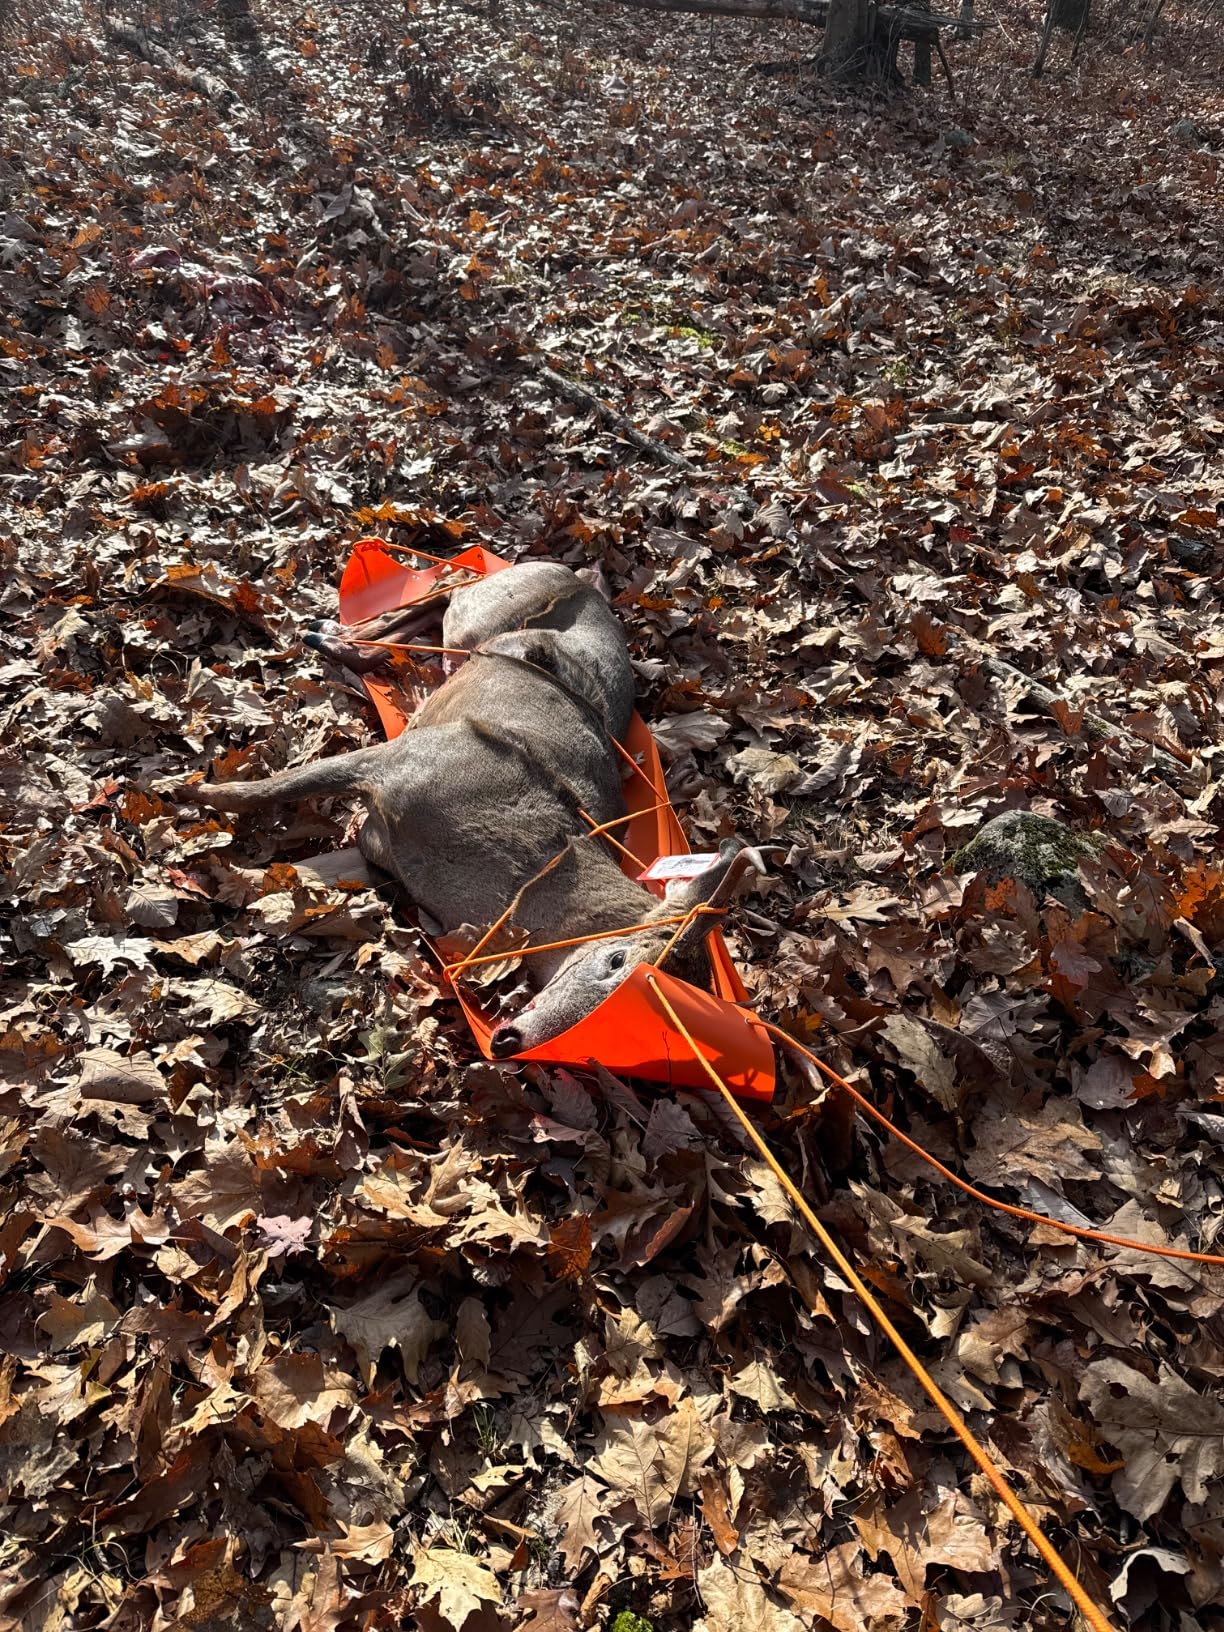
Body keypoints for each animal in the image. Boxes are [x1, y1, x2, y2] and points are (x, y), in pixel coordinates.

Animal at [183, 559, 761, 1058]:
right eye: (617, 959)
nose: (508, 1041)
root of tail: (583, 578)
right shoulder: (401, 759)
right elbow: (264, 789)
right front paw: (189, 793)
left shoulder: (381, 847)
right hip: (479, 617)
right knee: (442, 593)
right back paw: (325, 631)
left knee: (407, 633)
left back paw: (327, 633)